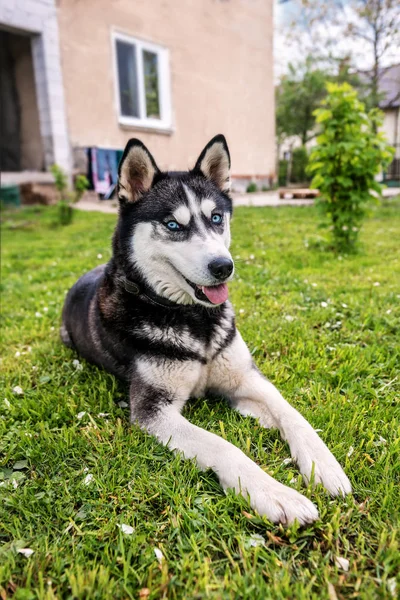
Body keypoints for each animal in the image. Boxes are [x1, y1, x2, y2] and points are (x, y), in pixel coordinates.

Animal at [61, 134, 352, 524]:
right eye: (173, 225)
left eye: (216, 218)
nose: (223, 266)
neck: (194, 319)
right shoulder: (154, 411)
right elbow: (222, 445)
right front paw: (275, 494)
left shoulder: (246, 379)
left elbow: (292, 413)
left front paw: (323, 464)